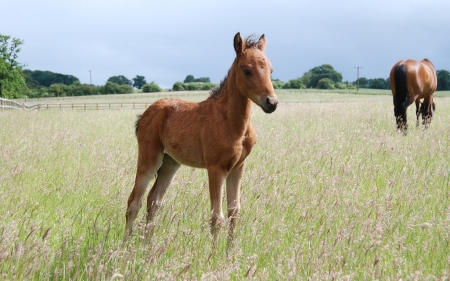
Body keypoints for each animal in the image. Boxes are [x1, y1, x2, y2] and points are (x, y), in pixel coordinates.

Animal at [124, 31, 278, 248]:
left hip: (170, 163)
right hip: (150, 159)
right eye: (246, 71)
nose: (271, 103)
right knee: (134, 202)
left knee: (154, 201)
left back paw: (147, 247)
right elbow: (216, 217)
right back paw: (124, 247)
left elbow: (233, 212)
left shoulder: (238, 167)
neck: (233, 123)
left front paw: (230, 252)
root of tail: (146, 112)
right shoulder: (216, 168)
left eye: (271, 71)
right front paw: (213, 255)